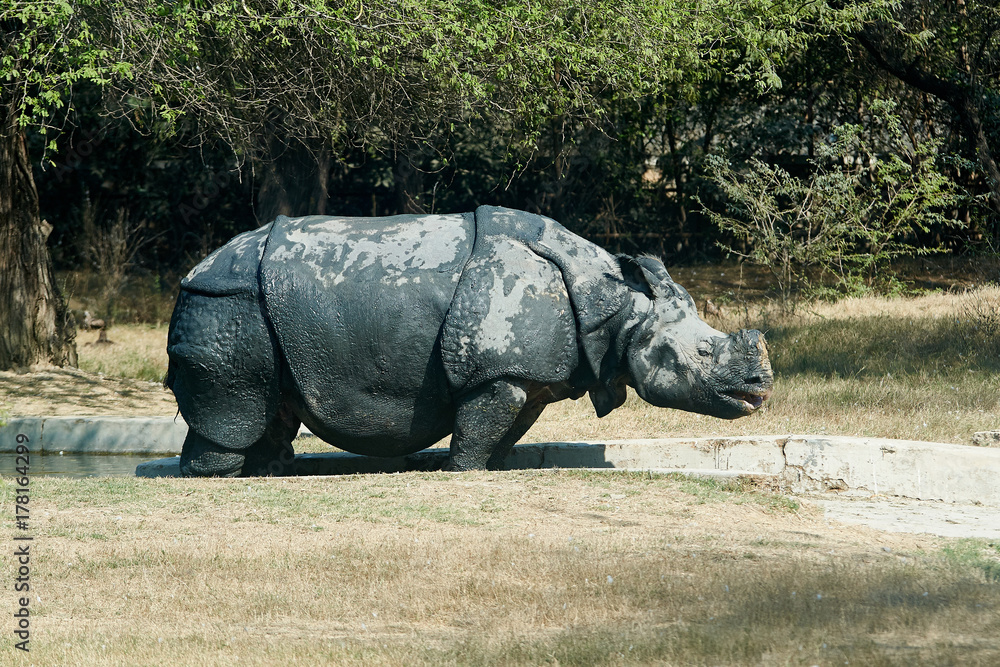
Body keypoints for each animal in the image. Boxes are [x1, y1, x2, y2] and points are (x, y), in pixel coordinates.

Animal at [166, 206, 773, 476]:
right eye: (700, 354)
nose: (761, 388)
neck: (619, 309)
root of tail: (190, 276)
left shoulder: (524, 375)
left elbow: (507, 427)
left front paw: (493, 470)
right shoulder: (496, 372)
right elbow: (479, 429)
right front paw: (463, 473)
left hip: (254, 311)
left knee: (271, 405)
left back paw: (266, 471)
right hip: (228, 305)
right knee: (237, 402)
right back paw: (218, 478)